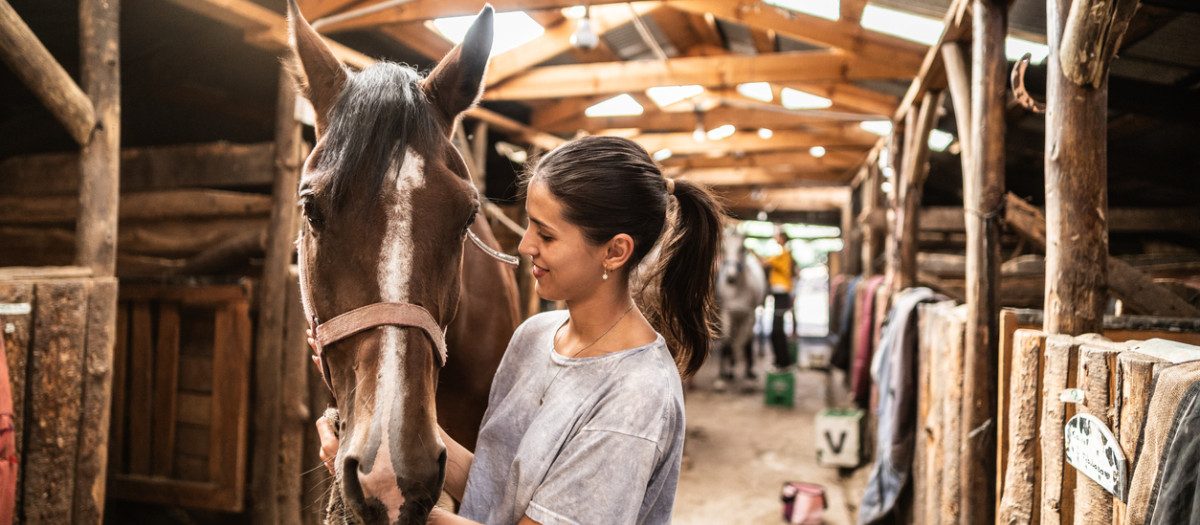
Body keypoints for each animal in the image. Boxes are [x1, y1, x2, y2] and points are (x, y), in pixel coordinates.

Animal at [714, 226, 767, 382]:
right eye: (723, 248)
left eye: (742, 248)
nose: (730, 277)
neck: (736, 290)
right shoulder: (726, 314)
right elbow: (727, 342)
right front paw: (723, 376)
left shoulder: (749, 315)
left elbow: (742, 343)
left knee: (747, 340)